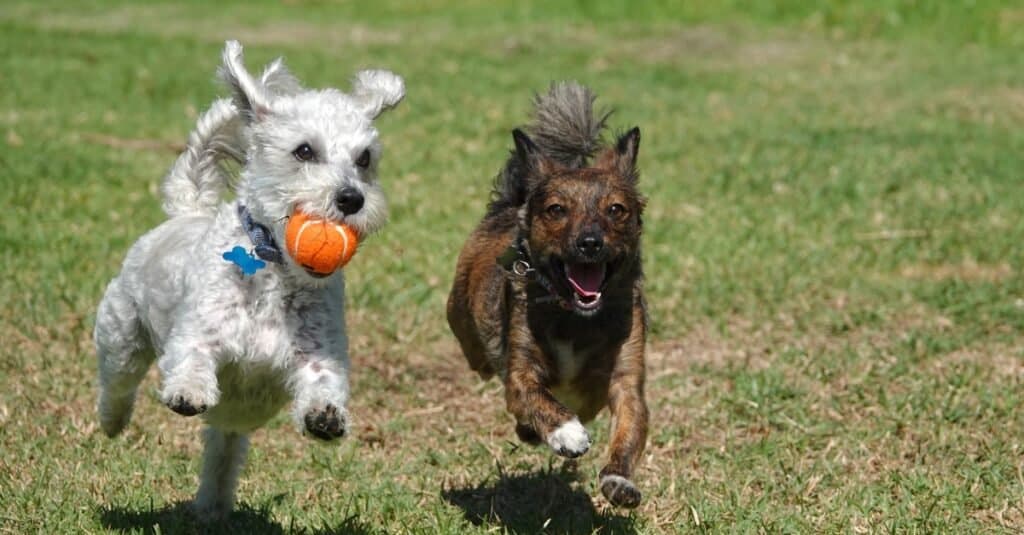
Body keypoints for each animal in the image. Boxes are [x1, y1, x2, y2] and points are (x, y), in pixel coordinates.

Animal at [93, 40, 403, 516]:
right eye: (304, 151)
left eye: (364, 158)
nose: (352, 198)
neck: (275, 267)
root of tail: (189, 211)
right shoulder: (198, 331)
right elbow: (192, 356)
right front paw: (188, 391)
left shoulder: (318, 352)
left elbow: (324, 381)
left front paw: (325, 415)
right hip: (122, 331)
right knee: (118, 381)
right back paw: (112, 421)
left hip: (230, 426)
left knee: (222, 452)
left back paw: (213, 508)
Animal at [446, 80, 647, 506]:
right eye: (557, 210)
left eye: (616, 210)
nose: (590, 242)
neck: (574, 316)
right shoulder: (520, 370)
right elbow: (536, 397)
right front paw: (565, 432)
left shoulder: (626, 380)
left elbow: (629, 427)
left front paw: (619, 480)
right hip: (465, 328)